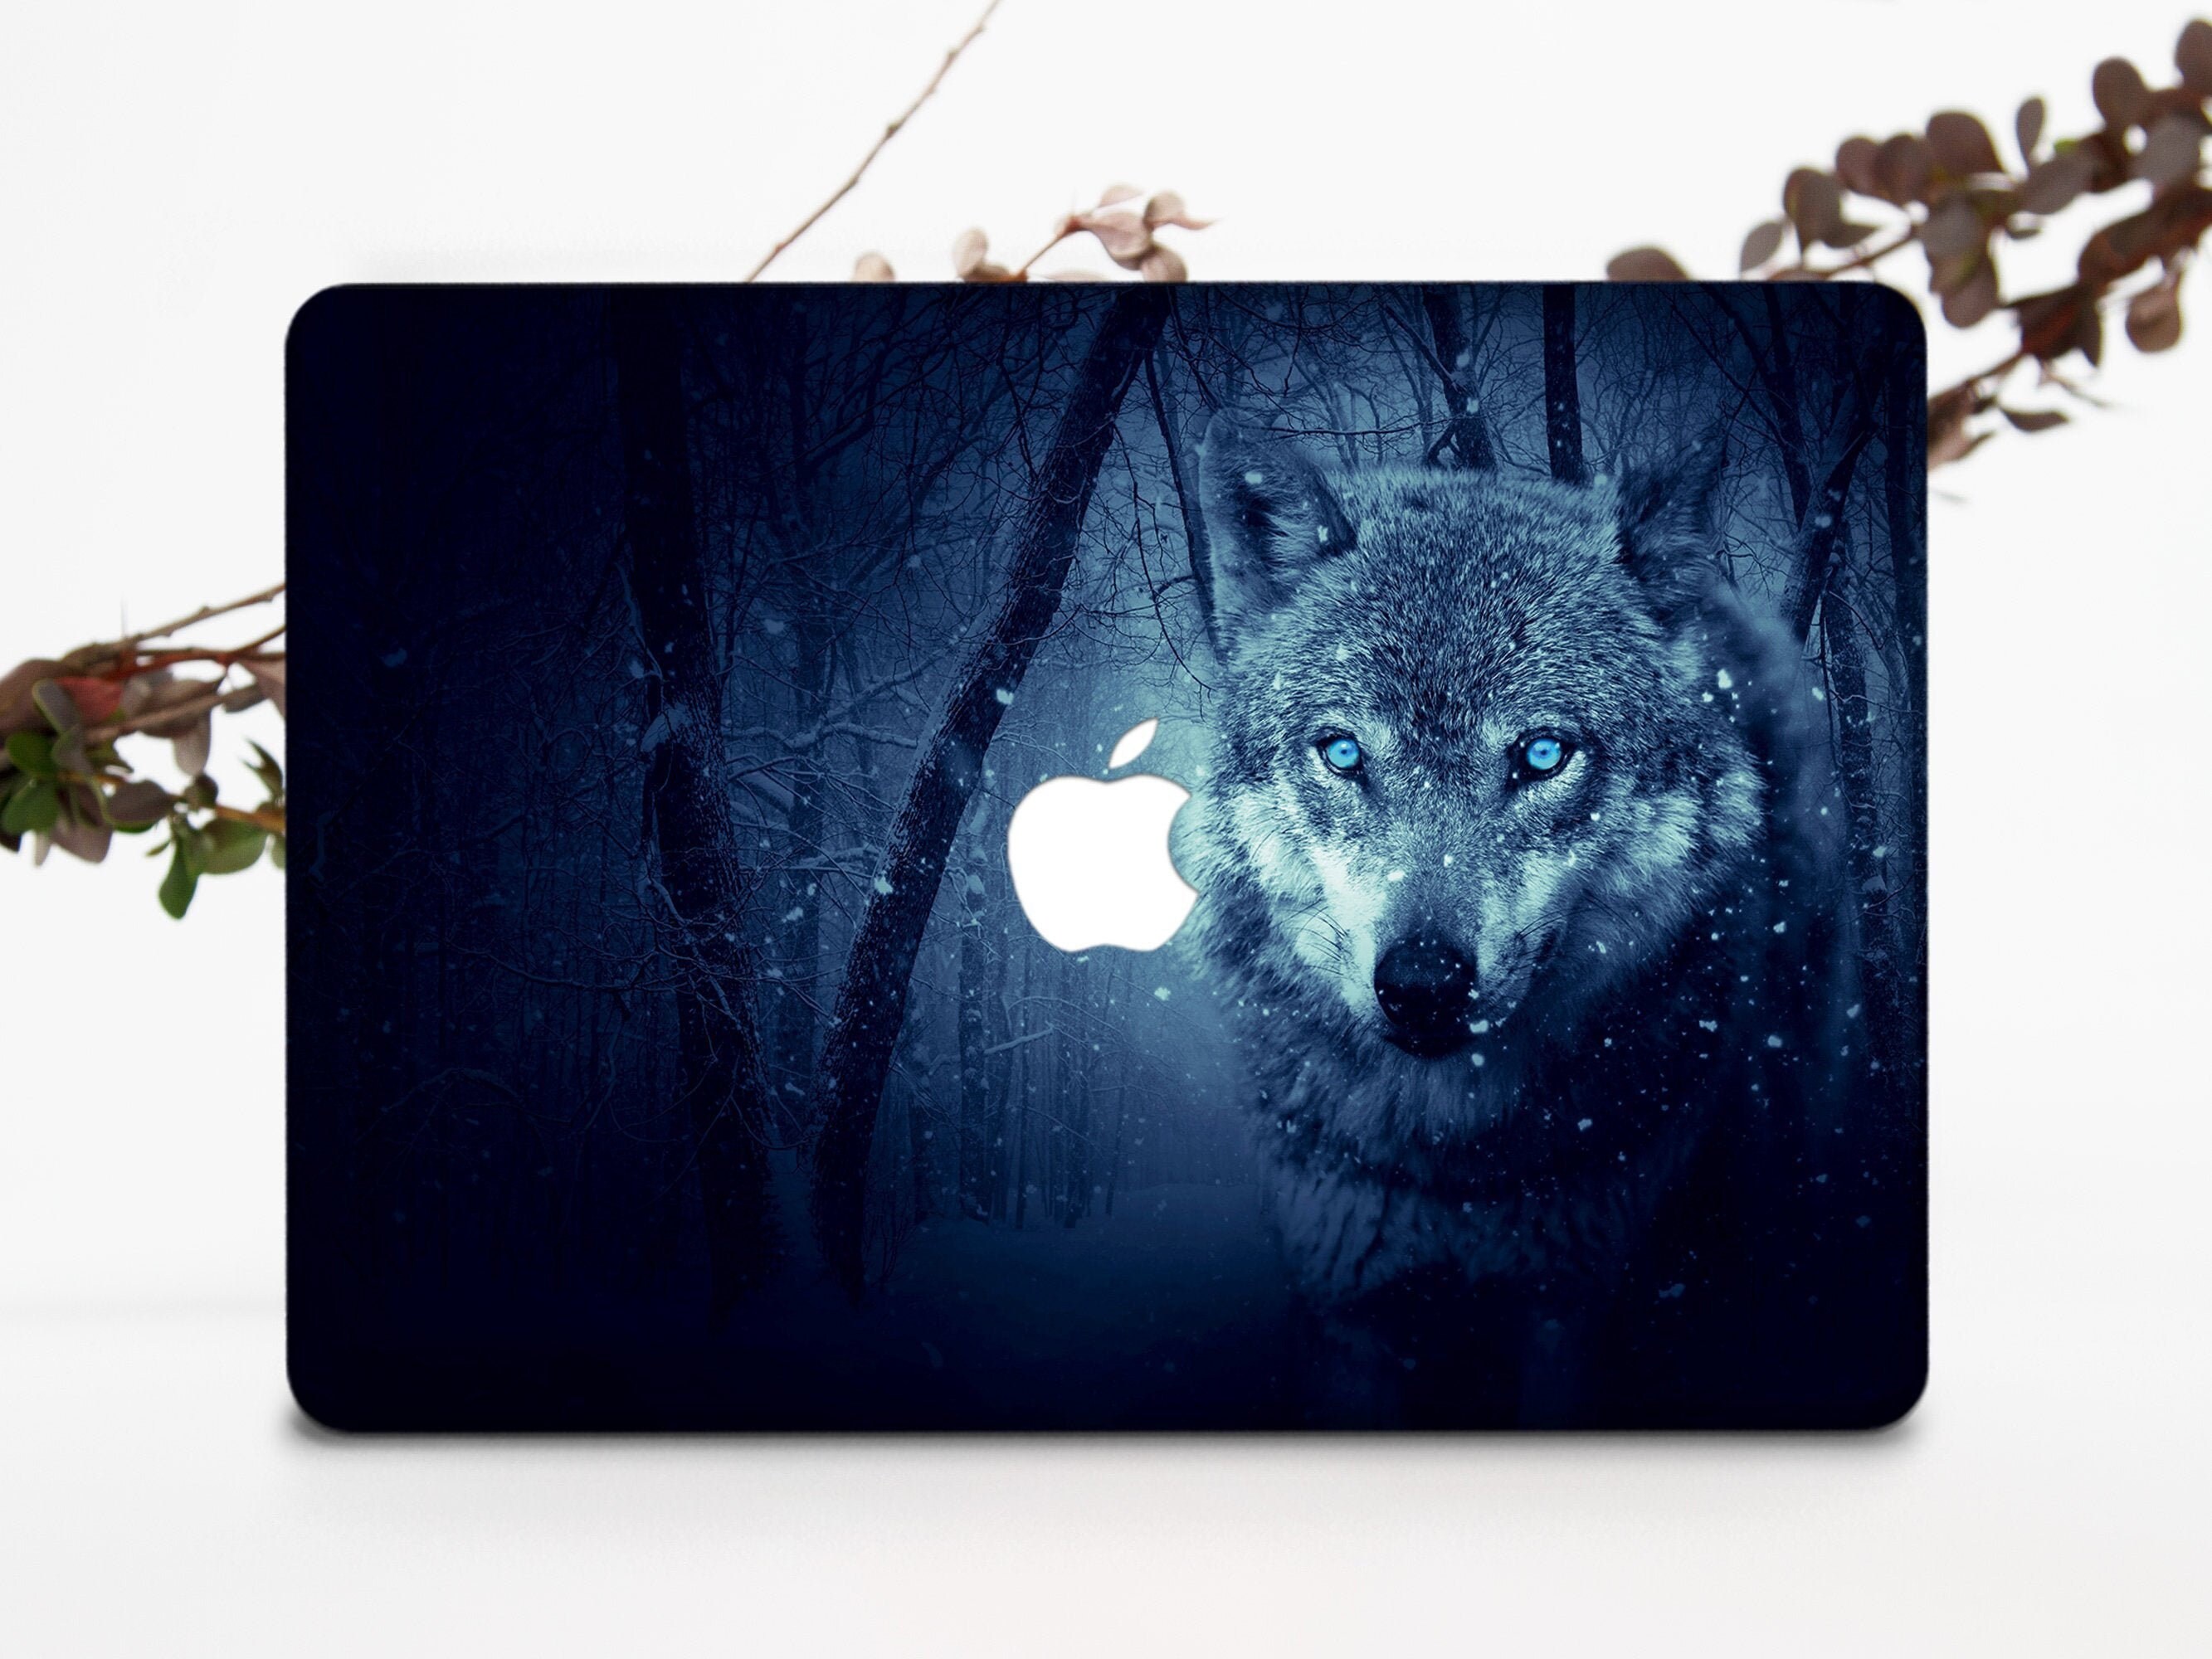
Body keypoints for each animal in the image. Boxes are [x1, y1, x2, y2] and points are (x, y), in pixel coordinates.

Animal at [1175, 417, 1855, 1423]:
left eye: (1540, 755)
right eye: (1342, 753)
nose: (1422, 983)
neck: (1455, 1161)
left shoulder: (1572, 1306)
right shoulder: (1347, 1308)